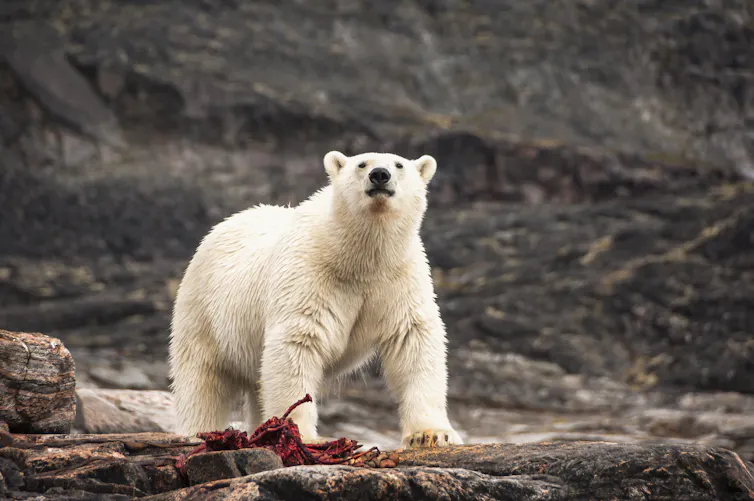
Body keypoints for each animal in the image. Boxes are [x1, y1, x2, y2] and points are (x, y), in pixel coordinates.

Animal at [168, 150, 462, 449]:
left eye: (399, 165)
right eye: (361, 164)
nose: (380, 174)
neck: (357, 257)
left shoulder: (399, 278)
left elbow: (413, 341)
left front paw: (432, 434)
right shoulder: (309, 274)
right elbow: (298, 341)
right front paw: (301, 434)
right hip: (203, 308)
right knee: (203, 378)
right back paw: (200, 431)